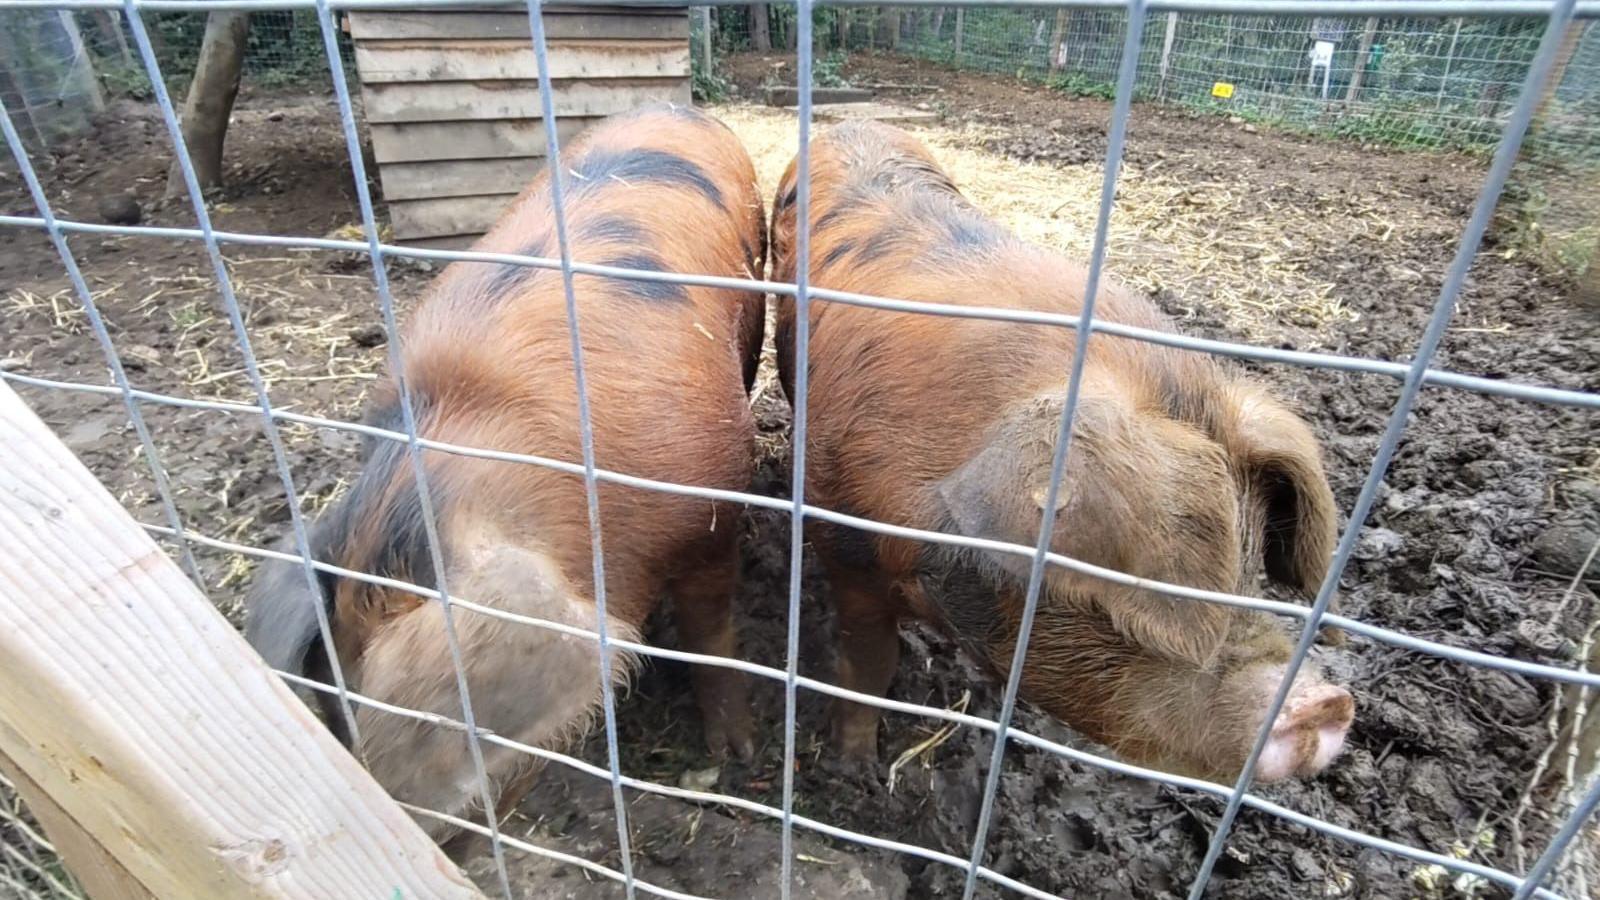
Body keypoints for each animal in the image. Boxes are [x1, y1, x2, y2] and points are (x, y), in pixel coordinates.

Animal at [768, 120, 1352, 783]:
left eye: (1251, 569)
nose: (1327, 704)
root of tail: (854, 122)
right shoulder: (844, 544)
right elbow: (867, 667)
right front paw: (854, 767)